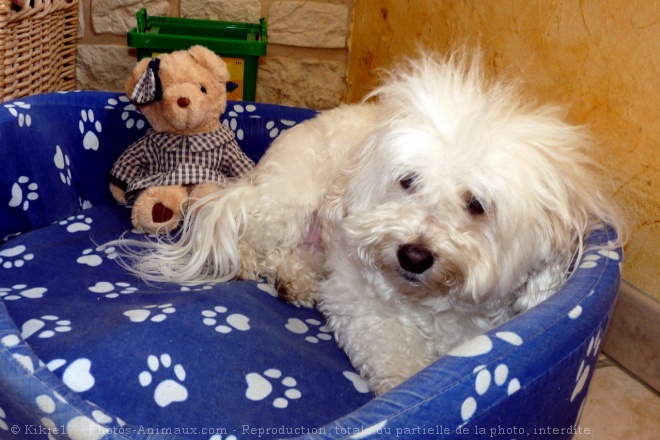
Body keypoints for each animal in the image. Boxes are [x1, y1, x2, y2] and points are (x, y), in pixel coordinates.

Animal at [124, 52, 624, 396]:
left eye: (476, 204)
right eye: (408, 180)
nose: (414, 255)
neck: (431, 305)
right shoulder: (361, 306)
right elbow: (394, 356)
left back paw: (295, 279)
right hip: (287, 204)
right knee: (252, 238)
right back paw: (261, 267)